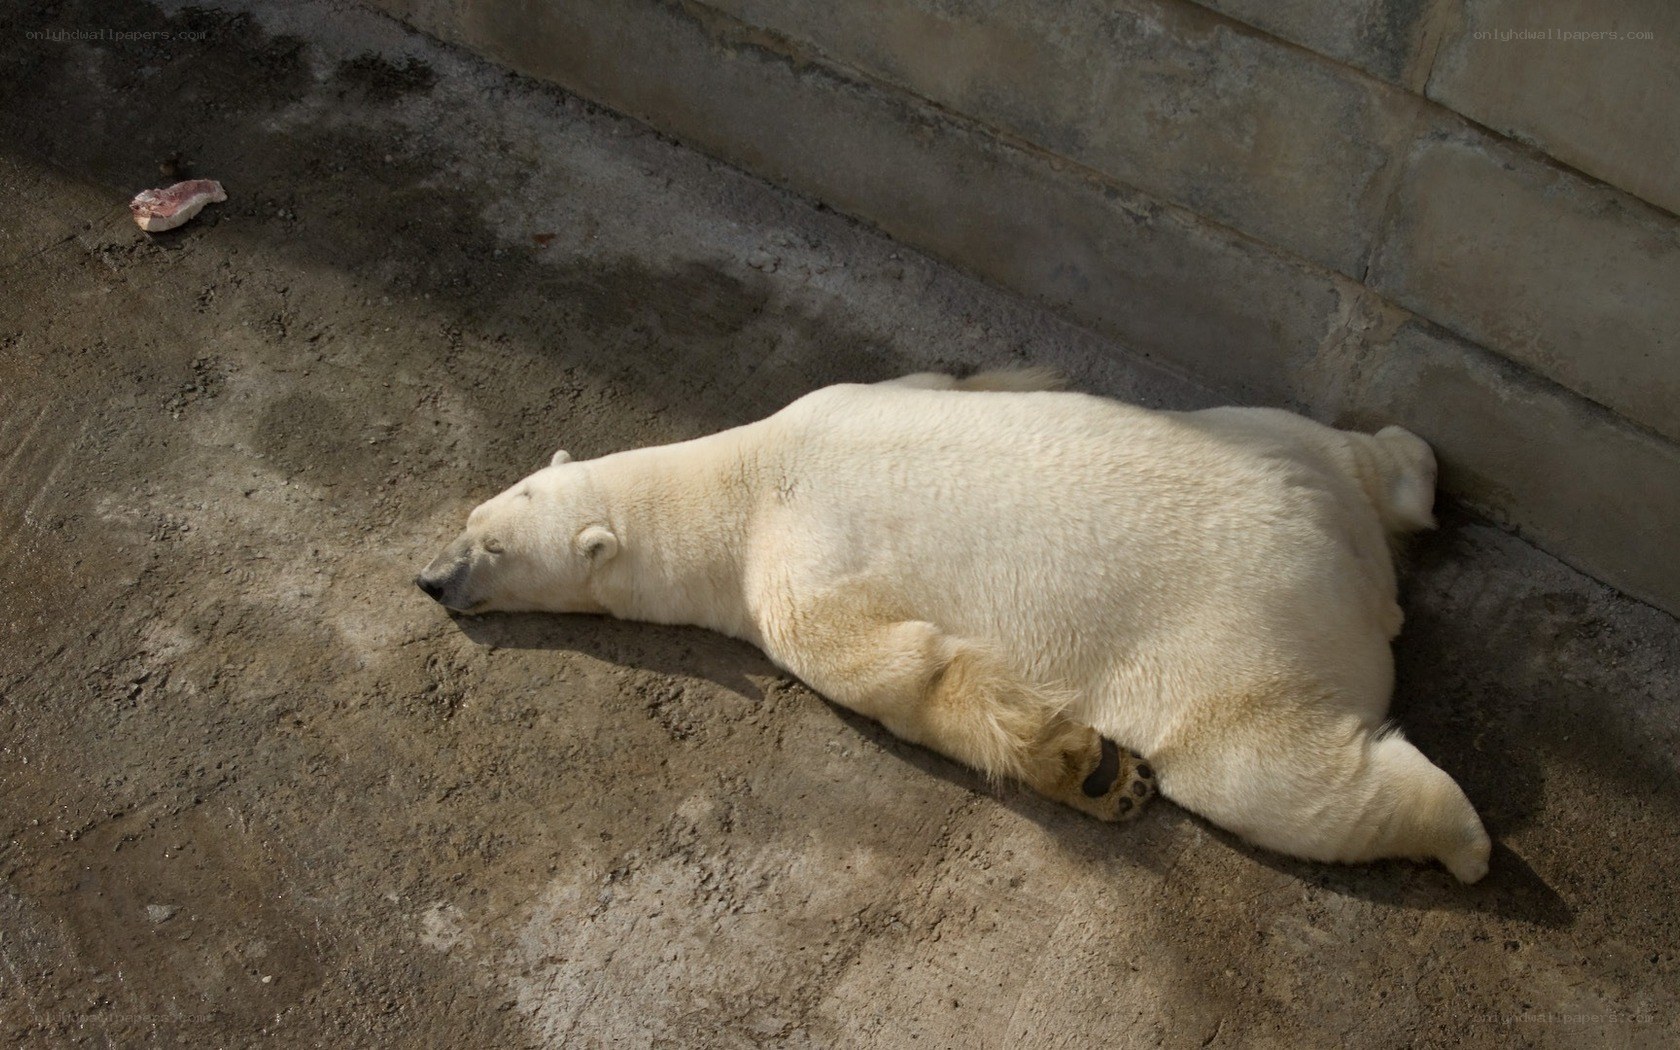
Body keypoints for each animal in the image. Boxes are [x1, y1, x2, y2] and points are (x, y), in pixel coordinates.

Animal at [418, 369, 1492, 883]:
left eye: (494, 549)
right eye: (472, 517)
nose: (432, 579)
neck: (742, 477)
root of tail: (1346, 559)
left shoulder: (790, 569)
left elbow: (897, 666)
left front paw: (1087, 764)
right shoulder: (855, 395)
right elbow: (943, 382)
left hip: (1235, 642)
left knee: (1273, 775)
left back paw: (1464, 840)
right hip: (1274, 438)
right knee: (1366, 449)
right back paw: (1412, 467)